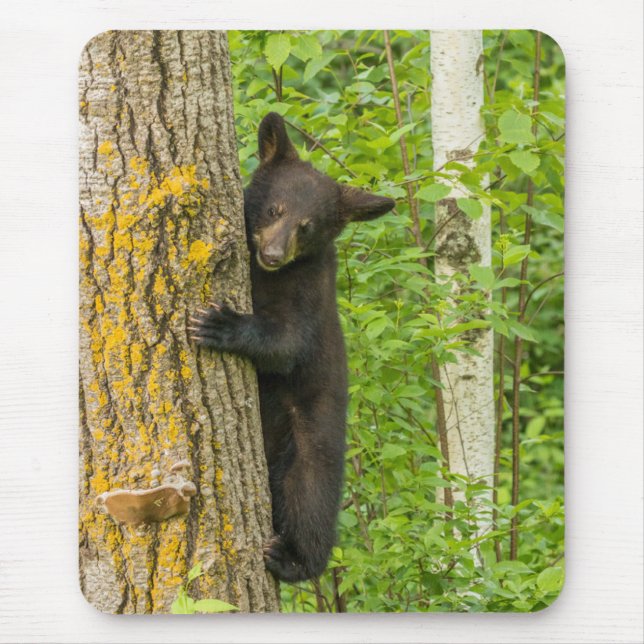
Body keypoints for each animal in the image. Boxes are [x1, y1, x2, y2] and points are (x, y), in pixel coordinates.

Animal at [189, 112, 395, 582]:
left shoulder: (309, 292)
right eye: (274, 209)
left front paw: (220, 324)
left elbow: (286, 343)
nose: (273, 253)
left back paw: (293, 558)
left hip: (310, 442)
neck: (266, 276)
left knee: (309, 501)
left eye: (307, 226)